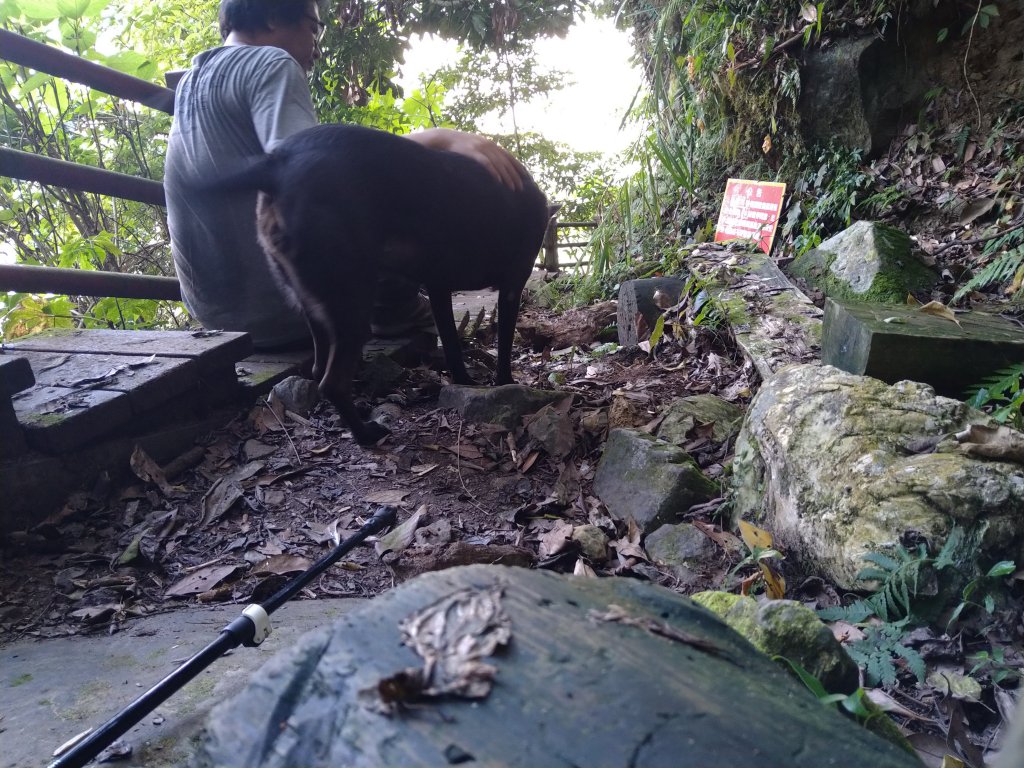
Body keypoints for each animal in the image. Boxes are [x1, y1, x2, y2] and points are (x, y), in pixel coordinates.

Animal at [227, 124, 548, 444]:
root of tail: (277, 163)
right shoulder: (511, 288)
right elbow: (503, 347)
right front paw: (506, 382)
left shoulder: (439, 288)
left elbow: (451, 344)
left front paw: (465, 381)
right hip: (353, 308)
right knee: (332, 383)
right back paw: (366, 434)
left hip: (313, 304)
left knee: (318, 369)